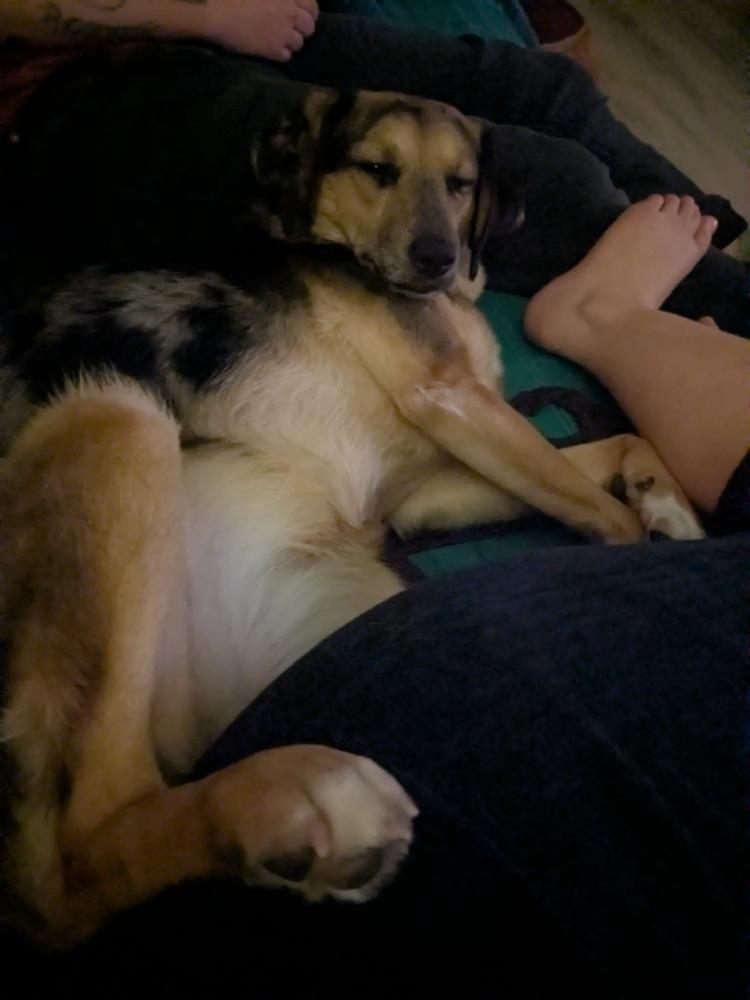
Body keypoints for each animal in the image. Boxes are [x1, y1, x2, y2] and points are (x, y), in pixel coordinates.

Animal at [0, 46, 704, 948]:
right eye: (377, 170)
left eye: (461, 183)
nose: (437, 257)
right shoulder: (450, 400)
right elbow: (589, 498)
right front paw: (628, 542)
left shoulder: (417, 493)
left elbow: (610, 451)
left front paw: (668, 501)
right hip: (111, 414)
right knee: (73, 862)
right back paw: (295, 803)